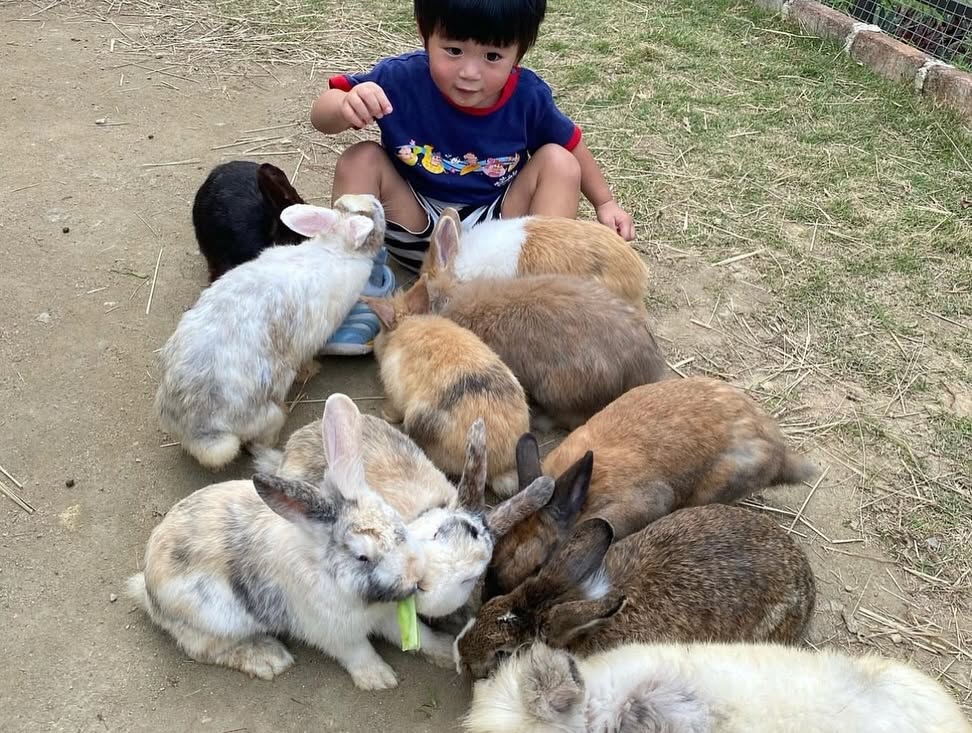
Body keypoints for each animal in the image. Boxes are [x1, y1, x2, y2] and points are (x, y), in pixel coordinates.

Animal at [128, 393, 450, 690]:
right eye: (362, 557)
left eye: (398, 522)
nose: (416, 573)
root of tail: (147, 587)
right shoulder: (336, 633)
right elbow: (359, 653)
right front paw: (379, 679)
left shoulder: (386, 615)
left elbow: (421, 636)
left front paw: (444, 650)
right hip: (215, 620)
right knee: (205, 649)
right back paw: (269, 659)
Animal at [155, 195, 385, 470]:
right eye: (370, 214)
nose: (376, 200)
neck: (335, 249)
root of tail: (198, 429)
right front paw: (311, 370)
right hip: (267, 416)